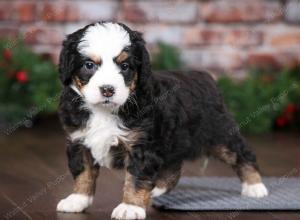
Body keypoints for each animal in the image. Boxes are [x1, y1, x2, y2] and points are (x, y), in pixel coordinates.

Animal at [56, 21, 268, 219]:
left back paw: (255, 187)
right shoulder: (79, 141)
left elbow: (135, 178)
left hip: (220, 134)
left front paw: (130, 207)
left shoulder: (141, 146)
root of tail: (205, 77)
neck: (104, 111)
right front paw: (78, 199)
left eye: (125, 66)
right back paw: (158, 188)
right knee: (174, 167)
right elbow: (83, 173)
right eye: (89, 65)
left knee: (242, 154)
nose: (108, 89)